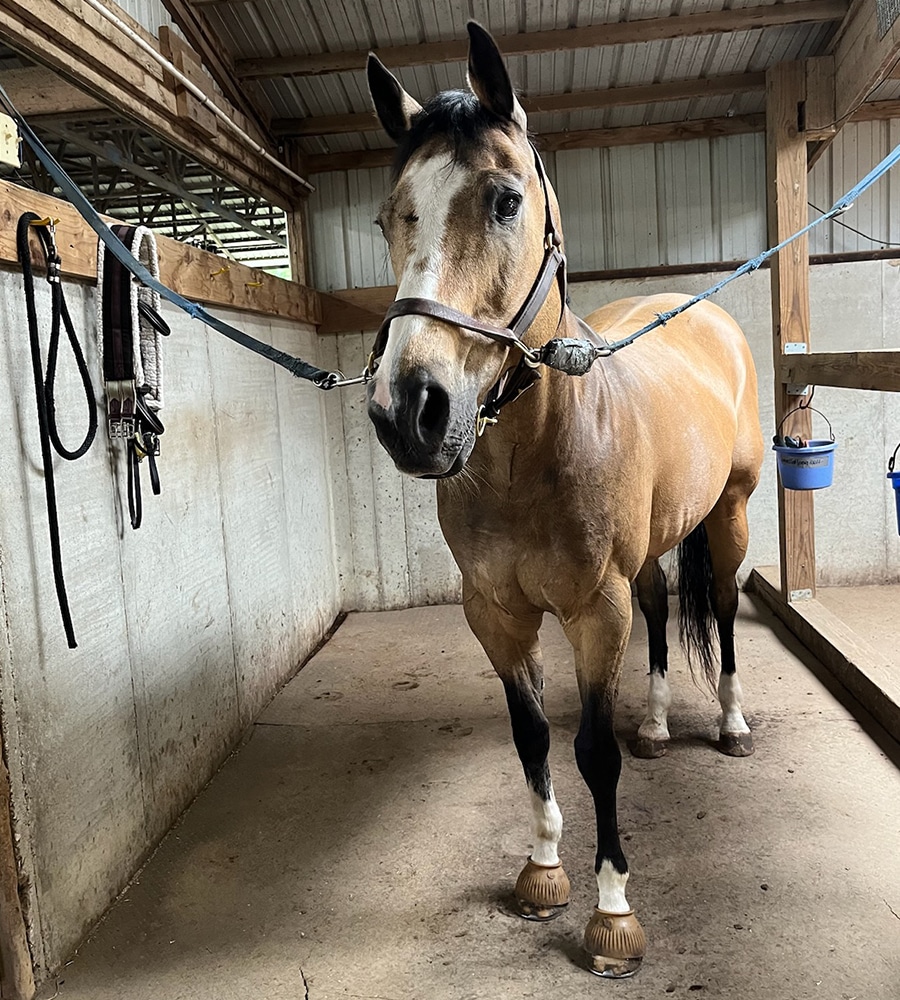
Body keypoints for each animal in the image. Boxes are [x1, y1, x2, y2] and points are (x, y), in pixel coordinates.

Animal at [363, 22, 764, 978]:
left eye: (506, 200)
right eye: (390, 216)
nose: (409, 411)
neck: (530, 460)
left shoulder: (592, 612)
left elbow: (591, 750)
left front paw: (612, 912)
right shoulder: (496, 614)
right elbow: (534, 736)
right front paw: (543, 870)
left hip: (729, 515)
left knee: (722, 609)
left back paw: (731, 725)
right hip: (650, 551)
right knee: (660, 613)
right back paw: (657, 724)